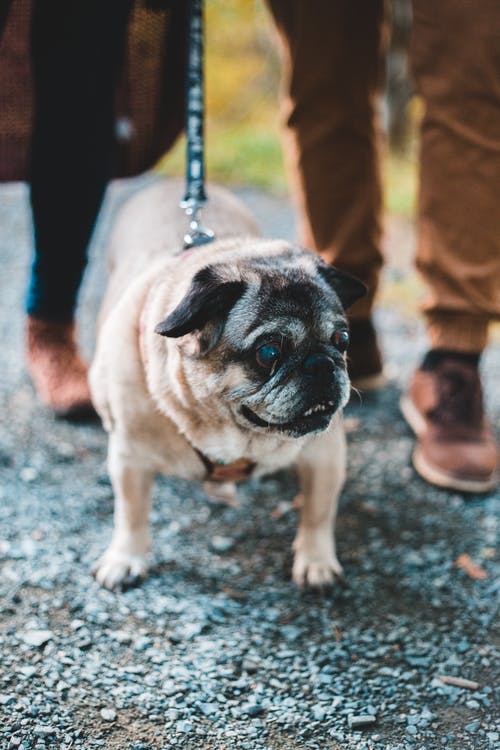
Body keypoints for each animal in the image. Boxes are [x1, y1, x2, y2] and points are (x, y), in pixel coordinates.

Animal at [89, 178, 364, 592]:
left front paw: (316, 561)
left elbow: (319, 511)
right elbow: (131, 512)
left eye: (343, 340)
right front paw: (126, 558)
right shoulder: (129, 458)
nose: (321, 364)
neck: (234, 436)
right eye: (268, 352)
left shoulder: (325, 453)